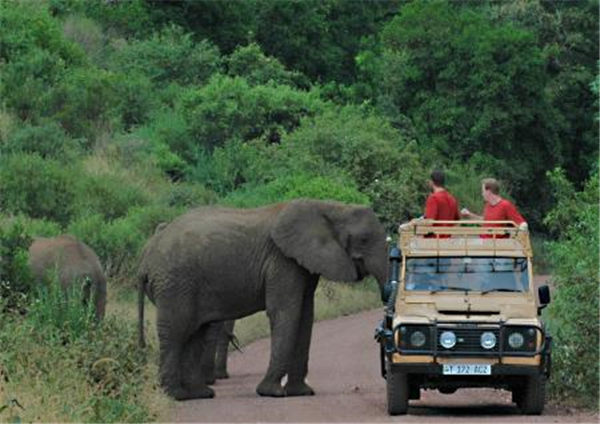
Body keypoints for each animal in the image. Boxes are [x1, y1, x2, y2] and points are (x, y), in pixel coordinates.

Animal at [138, 199, 386, 400]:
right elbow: (287, 312)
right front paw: (272, 393)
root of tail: (146, 257)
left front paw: (302, 393)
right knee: (177, 330)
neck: (331, 207)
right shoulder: (282, 260)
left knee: (195, 331)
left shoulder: (302, 264)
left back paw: (199, 394)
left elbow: (306, 315)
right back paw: (176, 395)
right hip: (175, 282)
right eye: (364, 239)